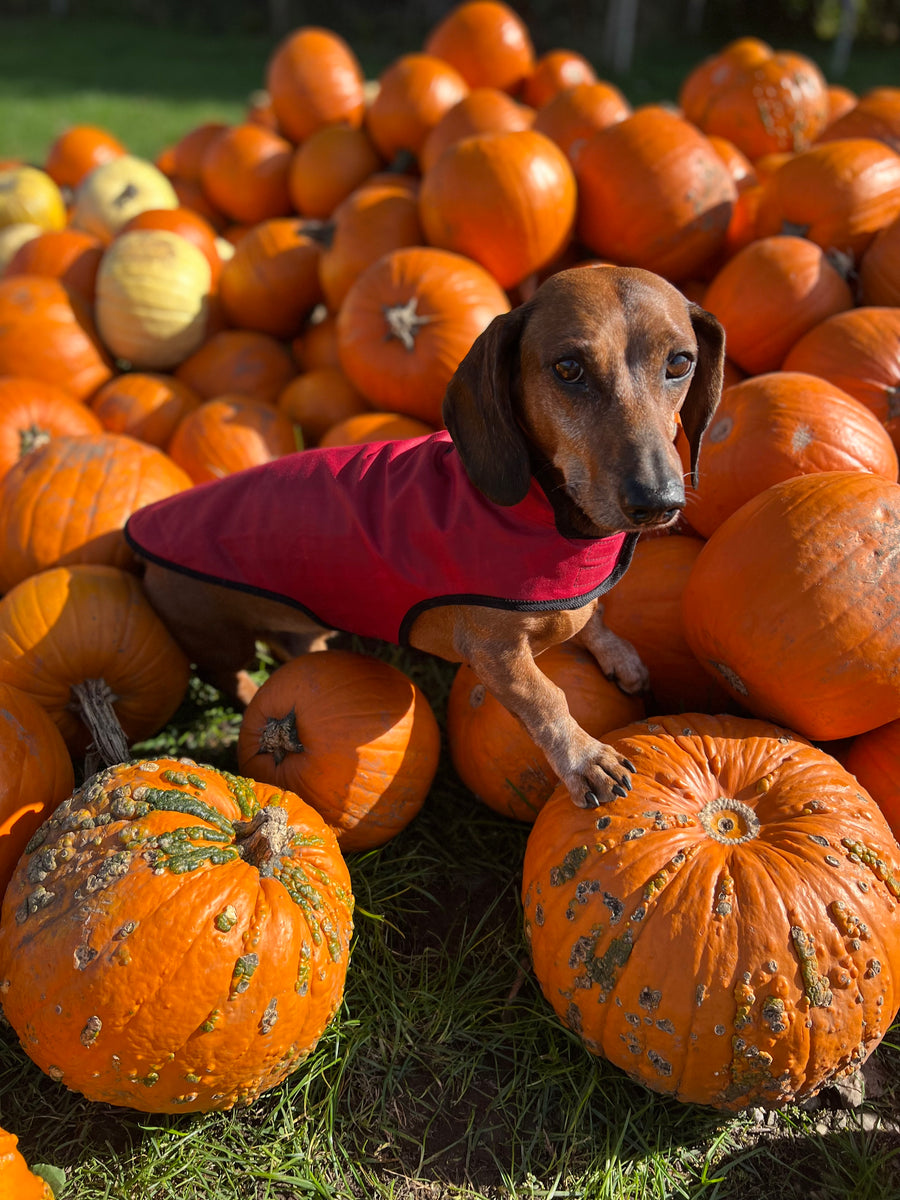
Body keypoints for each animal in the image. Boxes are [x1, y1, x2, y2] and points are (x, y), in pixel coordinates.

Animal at [127, 265, 724, 806]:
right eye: (569, 368)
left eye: (679, 362)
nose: (659, 502)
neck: (553, 514)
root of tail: (144, 525)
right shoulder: (493, 652)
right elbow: (545, 696)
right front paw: (586, 759)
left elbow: (592, 618)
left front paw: (617, 654)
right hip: (213, 633)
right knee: (232, 678)